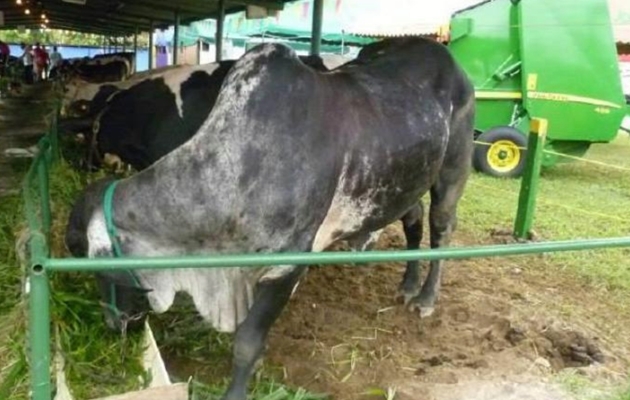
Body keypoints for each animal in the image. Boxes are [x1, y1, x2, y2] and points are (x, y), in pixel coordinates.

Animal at [66, 38, 476, 400]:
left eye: (95, 267)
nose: (112, 324)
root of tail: (445, 56)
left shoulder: (287, 265)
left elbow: (247, 342)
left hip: (450, 173)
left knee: (441, 228)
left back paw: (424, 297)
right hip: (403, 181)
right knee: (413, 222)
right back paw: (406, 284)